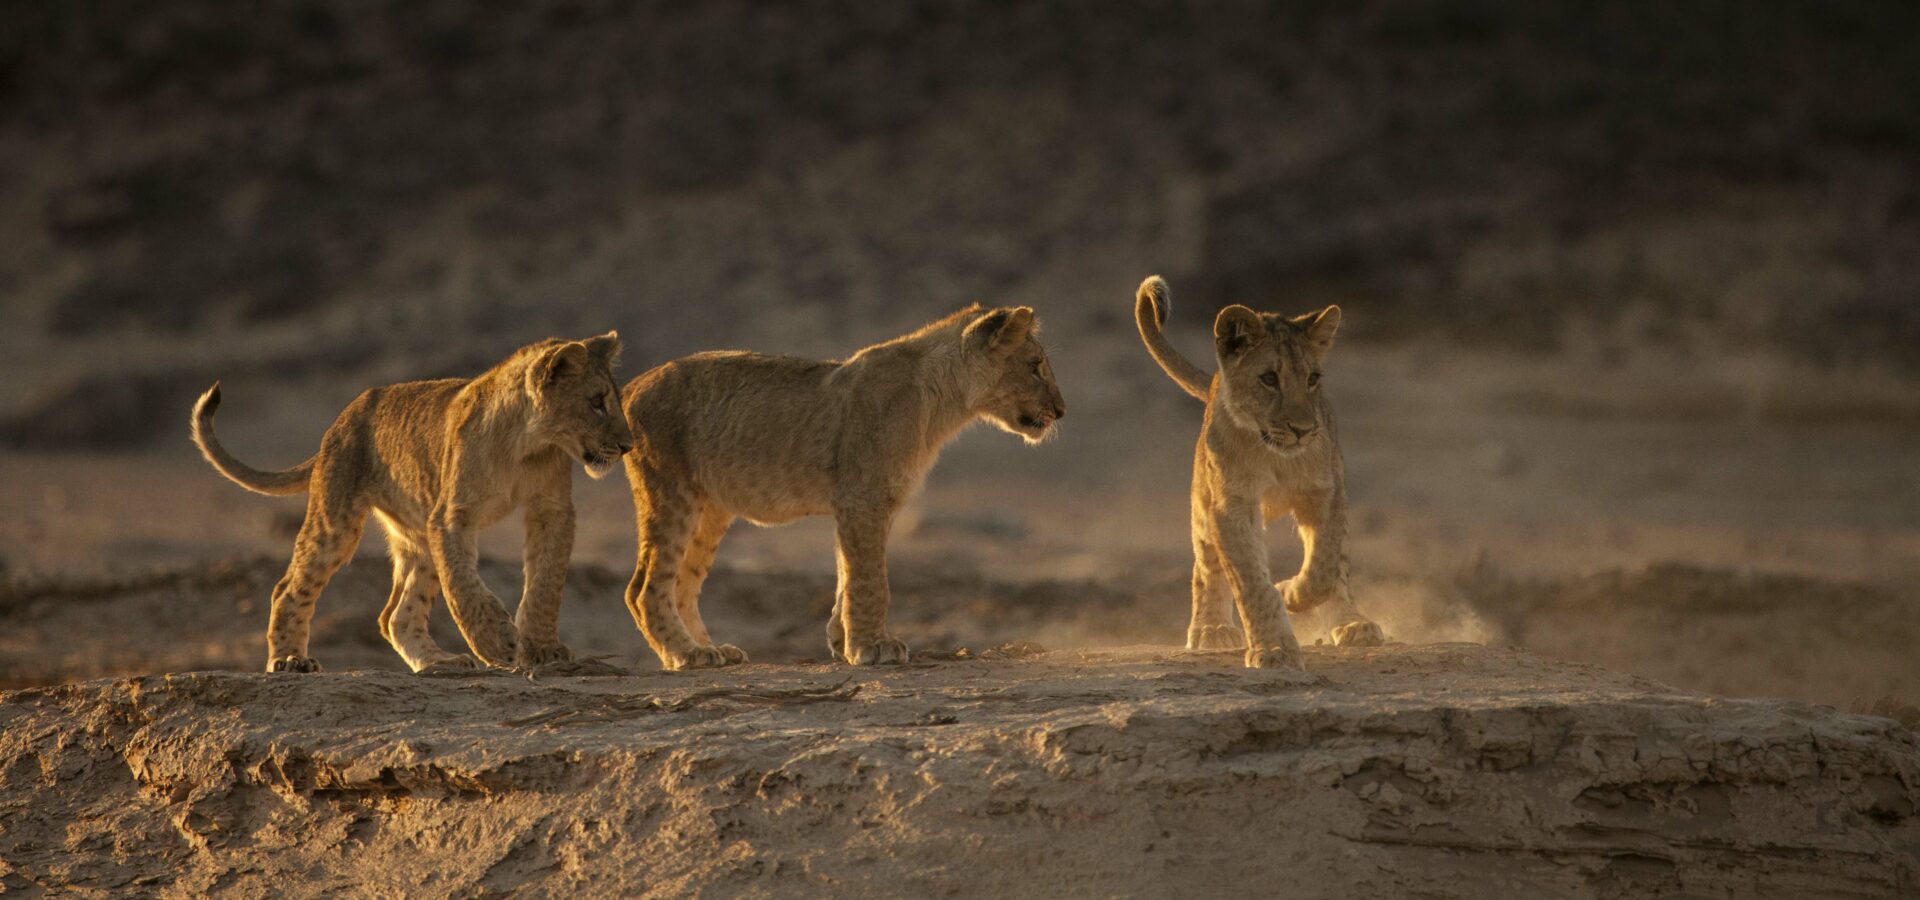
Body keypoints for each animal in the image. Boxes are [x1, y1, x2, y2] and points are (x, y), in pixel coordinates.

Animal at [190, 333, 634, 673]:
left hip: (416, 534)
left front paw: (541, 648)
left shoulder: (552, 509)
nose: (628, 445)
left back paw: (440, 664)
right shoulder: (451, 517)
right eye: (596, 401)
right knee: (289, 587)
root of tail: (342, 417)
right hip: (338, 519)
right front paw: (494, 642)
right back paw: (288, 661)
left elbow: (545, 581)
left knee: (395, 616)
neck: (527, 444)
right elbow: (462, 584)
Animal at [618, 305, 1065, 669]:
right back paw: (687, 653)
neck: (943, 403)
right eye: (1035, 364)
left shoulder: (870, 501)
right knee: (643, 588)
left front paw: (842, 638)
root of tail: (628, 387)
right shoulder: (863, 496)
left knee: (682, 584)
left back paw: (710, 650)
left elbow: (848, 573)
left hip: (710, 509)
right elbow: (872, 579)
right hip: (671, 491)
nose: (1061, 410)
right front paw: (872, 647)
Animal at [1134, 276, 1384, 669]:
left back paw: (1354, 625)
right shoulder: (1231, 506)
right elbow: (1250, 580)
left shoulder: (1328, 492)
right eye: (1268, 378)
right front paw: (1275, 647)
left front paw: (1289, 592)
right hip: (1202, 504)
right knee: (1205, 569)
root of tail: (1213, 383)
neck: (1276, 456)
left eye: (1313, 378)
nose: (1302, 430)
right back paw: (1212, 629)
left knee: (1339, 573)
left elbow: (1325, 568)